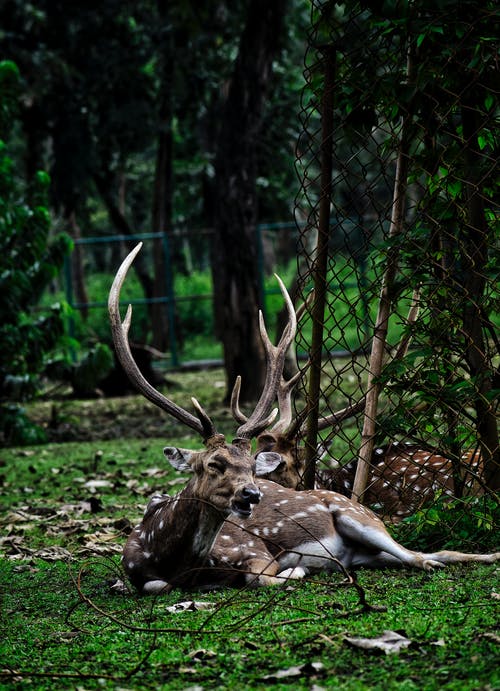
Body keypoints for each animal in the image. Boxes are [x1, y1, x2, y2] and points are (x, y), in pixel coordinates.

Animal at [108, 245, 496, 596]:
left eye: (252, 466)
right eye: (213, 464)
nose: (252, 494)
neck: (169, 557)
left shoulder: (253, 548)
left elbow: (261, 575)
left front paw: (294, 570)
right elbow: (155, 585)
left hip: (360, 517)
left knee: (420, 556)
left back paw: (484, 556)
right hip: (369, 550)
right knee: (423, 554)